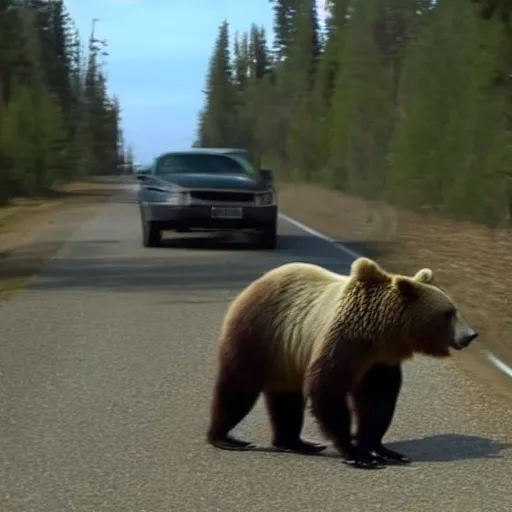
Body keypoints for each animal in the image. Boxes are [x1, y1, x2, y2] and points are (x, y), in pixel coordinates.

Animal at [206, 258, 478, 470]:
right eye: (448, 313)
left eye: (455, 309)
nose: (471, 334)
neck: (379, 334)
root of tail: (255, 284)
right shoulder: (344, 342)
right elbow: (328, 391)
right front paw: (358, 455)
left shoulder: (378, 361)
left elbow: (378, 400)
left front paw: (383, 450)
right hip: (260, 333)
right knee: (238, 387)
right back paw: (225, 437)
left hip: (286, 355)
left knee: (286, 399)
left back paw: (297, 443)